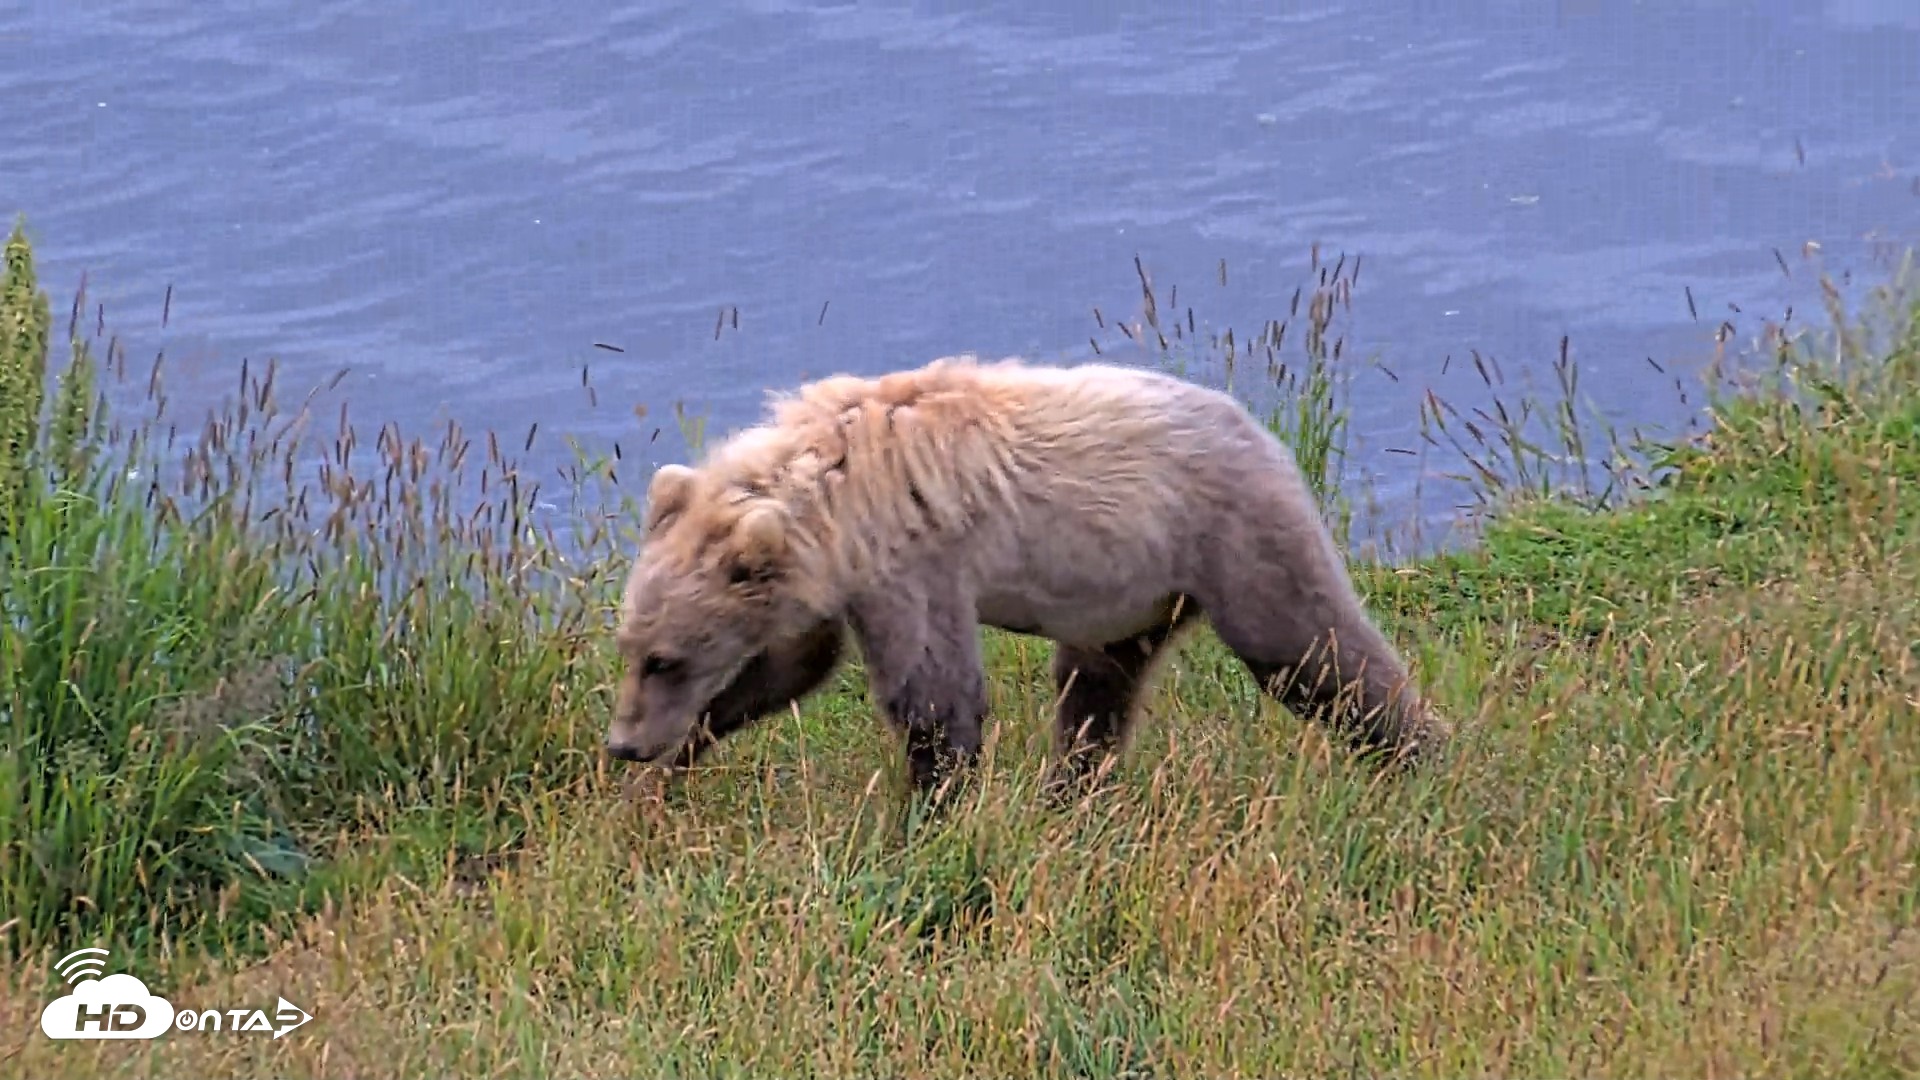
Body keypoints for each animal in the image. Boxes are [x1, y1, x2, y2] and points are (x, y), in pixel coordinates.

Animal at [606, 353, 1450, 802]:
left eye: (665, 658)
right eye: (633, 649)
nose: (623, 745)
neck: (827, 503)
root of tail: (1265, 433)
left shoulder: (912, 564)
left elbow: (934, 695)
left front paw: (933, 803)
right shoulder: (832, 584)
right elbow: (793, 666)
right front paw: (688, 747)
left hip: (1232, 541)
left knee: (1310, 653)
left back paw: (1421, 752)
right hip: (1125, 593)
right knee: (1096, 687)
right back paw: (1072, 790)